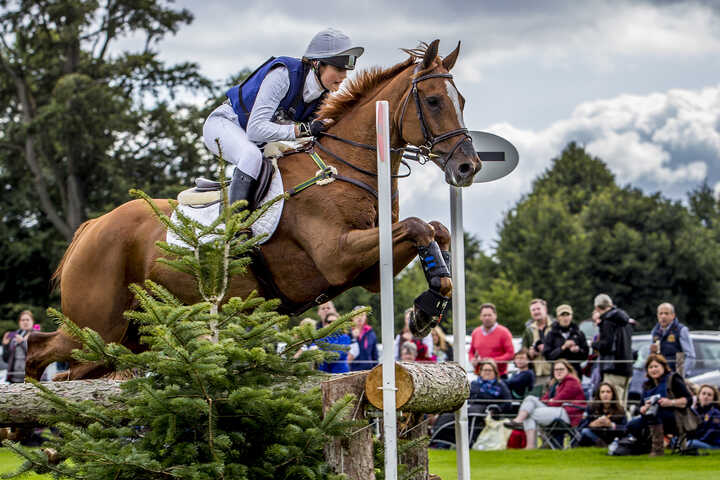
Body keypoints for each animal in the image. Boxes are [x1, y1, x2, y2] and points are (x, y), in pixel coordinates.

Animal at [26, 40, 478, 378]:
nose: (468, 166)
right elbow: (419, 226)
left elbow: (435, 229)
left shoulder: (367, 272)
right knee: (39, 350)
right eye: (433, 101)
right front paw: (428, 306)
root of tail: (92, 227)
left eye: (462, 99)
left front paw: (430, 303)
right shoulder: (337, 257)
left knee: (64, 369)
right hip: (97, 327)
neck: (341, 170)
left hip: (128, 333)